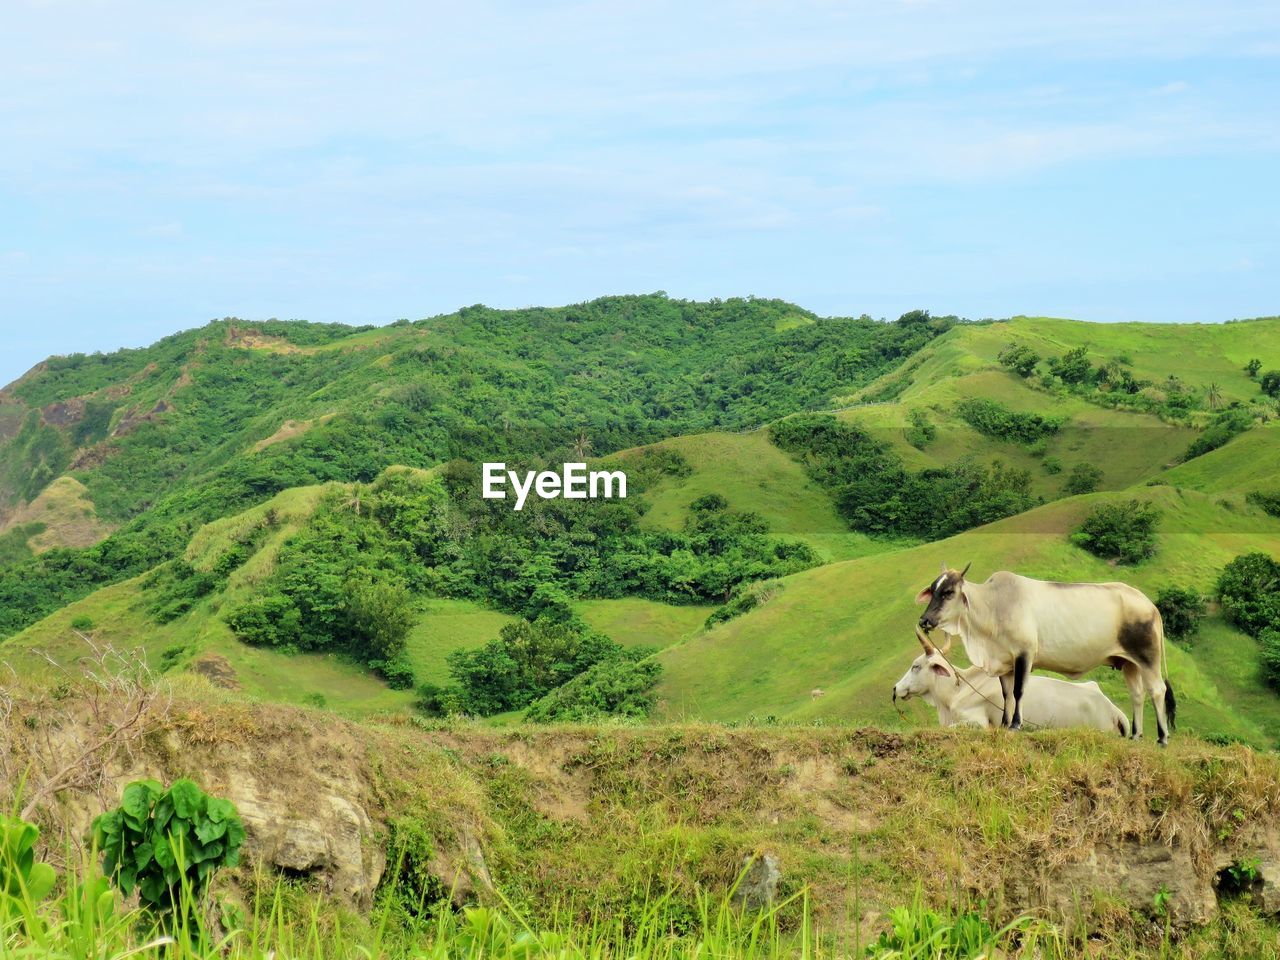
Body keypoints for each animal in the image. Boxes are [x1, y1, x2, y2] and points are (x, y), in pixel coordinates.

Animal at [916, 568, 1172, 747]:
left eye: (948, 592)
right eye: (933, 590)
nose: (924, 620)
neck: (994, 607)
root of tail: (1150, 605)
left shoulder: (1024, 655)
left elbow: (1018, 691)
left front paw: (1015, 725)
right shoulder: (1005, 663)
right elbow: (1006, 695)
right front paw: (1004, 724)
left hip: (1148, 657)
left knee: (1157, 690)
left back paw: (1162, 738)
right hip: (1129, 663)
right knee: (1137, 694)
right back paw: (1136, 735)